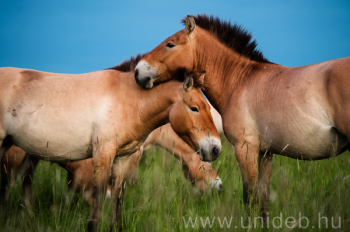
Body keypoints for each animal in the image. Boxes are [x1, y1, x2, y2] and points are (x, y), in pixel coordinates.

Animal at [133, 13, 350, 222]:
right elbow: (263, 199)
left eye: (170, 44)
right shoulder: (265, 153)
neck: (240, 81)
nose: (137, 71)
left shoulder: (245, 149)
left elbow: (250, 198)